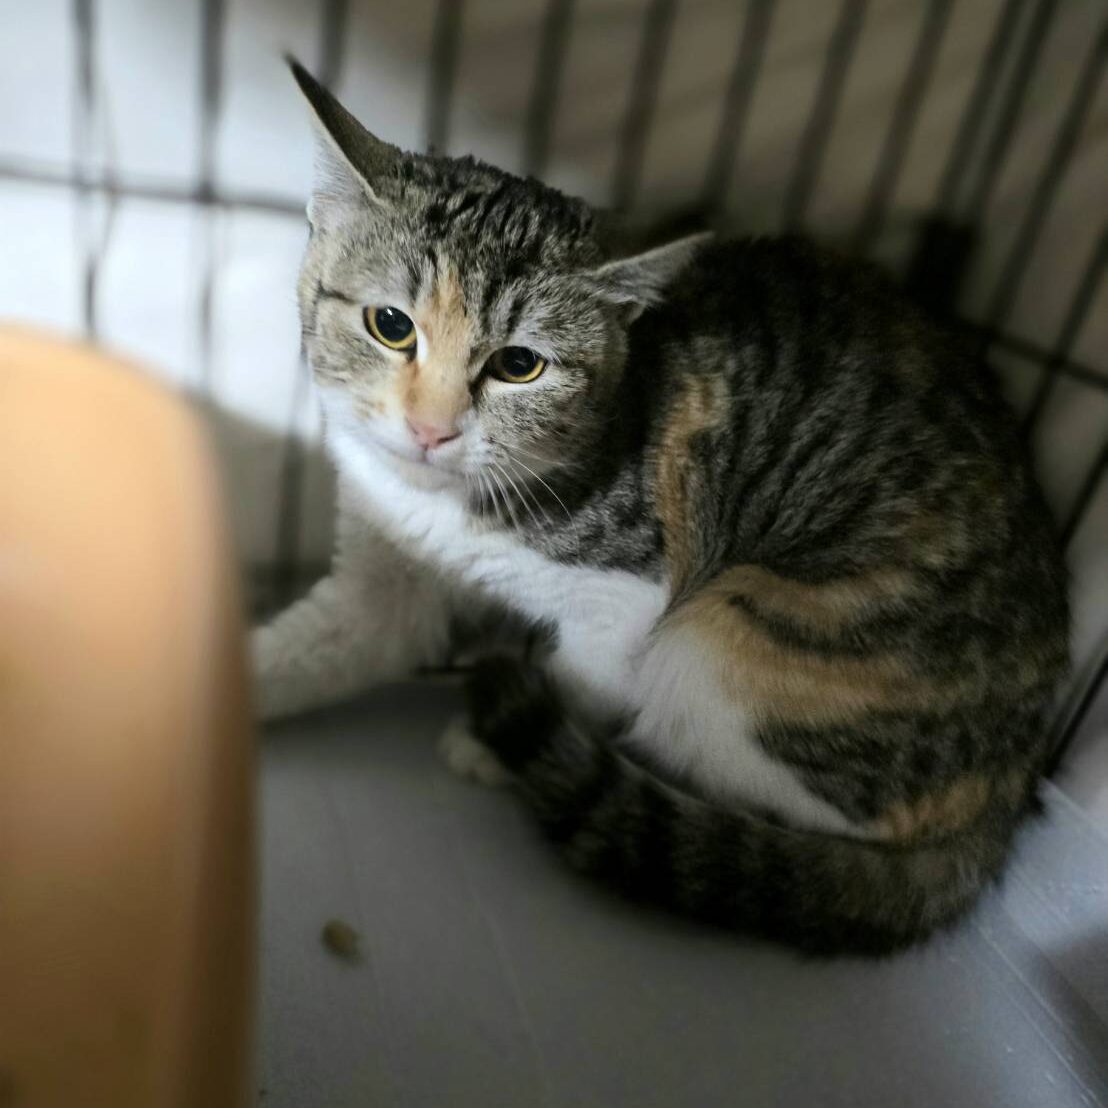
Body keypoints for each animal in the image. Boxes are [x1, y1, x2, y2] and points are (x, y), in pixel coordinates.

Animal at [253, 59, 1070, 955]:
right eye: (391, 324)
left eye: (519, 365)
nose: (433, 429)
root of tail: (1007, 797)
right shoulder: (383, 571)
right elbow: (330, 643)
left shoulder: (632, 592)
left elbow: (584, 674)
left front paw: (499, 742)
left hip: (734, 638)